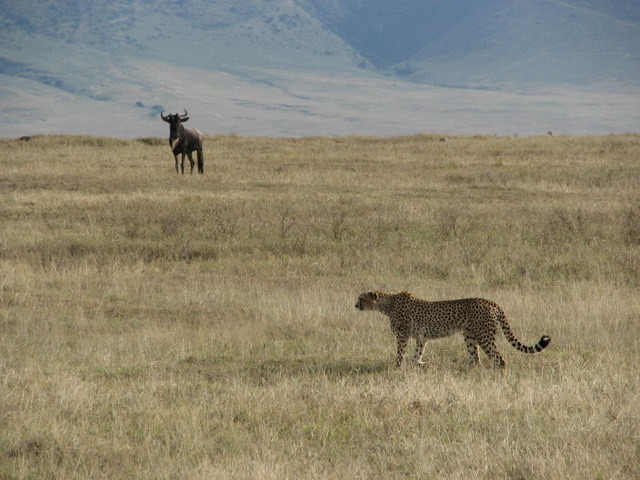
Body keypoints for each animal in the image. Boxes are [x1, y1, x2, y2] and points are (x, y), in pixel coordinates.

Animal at [355, 291, 551, 370]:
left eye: (361, 298)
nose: (355, 305)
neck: (387, 304)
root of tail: (491, 302)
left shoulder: (403, 335)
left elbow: (400, 353)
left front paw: (398, 367)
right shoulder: (422, 337)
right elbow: (417, 353)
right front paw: (418, 364)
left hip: (484, 336)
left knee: (499, 360)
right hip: (469, 334)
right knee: (475, 358)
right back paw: (462, 372)